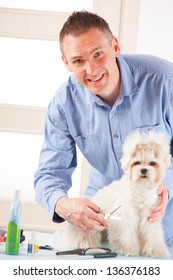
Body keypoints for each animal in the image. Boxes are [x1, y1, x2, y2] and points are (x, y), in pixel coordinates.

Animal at [62, 130, 170, 258]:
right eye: (136, 163)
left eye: (152, 163)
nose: (143, 170)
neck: (140, 189)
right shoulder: (125, 217)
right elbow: (127, 235)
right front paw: (127, 249)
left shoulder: (150, 217)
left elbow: (151, 235)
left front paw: (155, 251)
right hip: (89, 222)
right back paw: (84, 243)